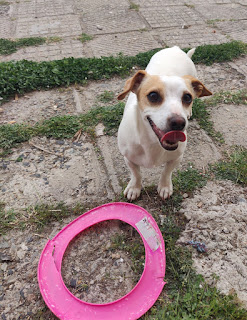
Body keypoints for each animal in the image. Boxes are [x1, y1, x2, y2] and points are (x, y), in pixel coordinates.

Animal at [116, 45, 211, 200]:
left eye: (187, 97)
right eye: (153, 95)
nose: (179, 123)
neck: (151, 142)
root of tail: (176, 48)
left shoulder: (177, 157)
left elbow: (167, 172)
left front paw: (164, 186)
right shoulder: (129, 158)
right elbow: (136, 174)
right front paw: (134, 188)